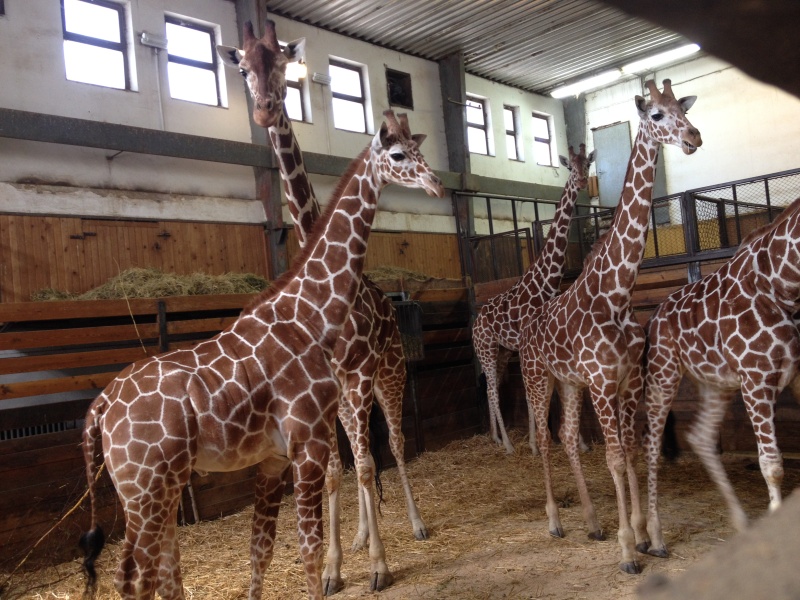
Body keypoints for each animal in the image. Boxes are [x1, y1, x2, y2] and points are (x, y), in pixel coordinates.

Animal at [79, 110, 444, 600]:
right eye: (399, 154)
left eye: (420, 149)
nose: (436, 185)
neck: (310, 314)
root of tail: (99, 408)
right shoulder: (305, 441)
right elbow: (309, 547)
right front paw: (341, 572)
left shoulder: (278, 453)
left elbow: (263, 550)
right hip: (145, 489)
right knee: (135, 575)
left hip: (152, 487)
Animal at [217, 20, 428, 595]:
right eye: (242, 67)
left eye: (283, 63)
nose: (266, 109)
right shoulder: (320, 391)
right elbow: (337, 469)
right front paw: (336, 566)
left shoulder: (353, 375)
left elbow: (366, 463)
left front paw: (379, 565)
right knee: (359, 453)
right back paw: (357, 537)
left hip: (389, 375)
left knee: (392, 443)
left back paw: (413, 524)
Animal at [472, 144, 595, 455]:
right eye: (569, 167)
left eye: (587, 163)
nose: (581, 181)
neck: (544, 284)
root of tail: (475, 324)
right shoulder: (530, 344)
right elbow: (533, 394)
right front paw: (534, 444)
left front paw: (579, 442)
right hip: (487, 348)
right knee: (492, 389)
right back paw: (507, 445)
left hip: (502, 351)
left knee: (493, 388)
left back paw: (495, 437)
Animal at [516, 79, 701, 574]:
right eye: (656, 115)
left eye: (683, 109)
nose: (693, 137)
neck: (617, 293)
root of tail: (525, 329)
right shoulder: (602, 382)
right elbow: (615, 457)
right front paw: (628, 549)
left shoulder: (627, 379)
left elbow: (632, 450)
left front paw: (646, 535)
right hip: (537, 377)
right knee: (544, 439)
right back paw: (556, 521)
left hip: (568, 382)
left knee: (565, 437)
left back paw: (592, 522)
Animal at [642, 195, 800, 558]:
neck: (783, 285)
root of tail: (654, 317)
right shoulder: (757, 378)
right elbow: (772, 465)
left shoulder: (798, 373)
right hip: (664, 372)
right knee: (653, 447)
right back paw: (655, 538)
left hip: (716, 383)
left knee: (700, 436)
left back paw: (740, 520)